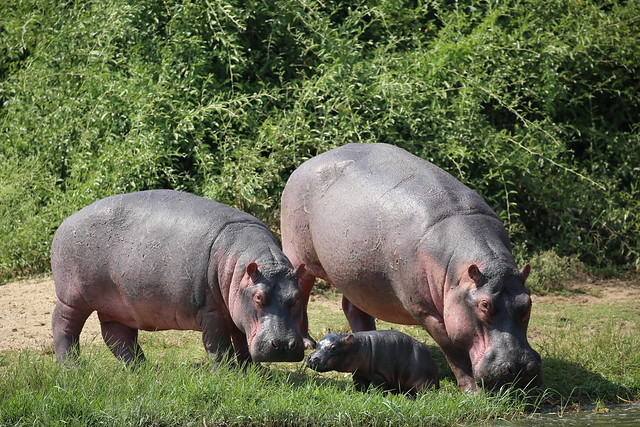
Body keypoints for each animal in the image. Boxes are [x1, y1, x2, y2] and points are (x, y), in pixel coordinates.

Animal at [51, 189, 306, 367]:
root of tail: (66, 221)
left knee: (118, 337)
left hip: (118, 305)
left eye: (296, 298)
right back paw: (72, 367)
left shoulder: (236, 311)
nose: (283, 346)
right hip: (73, 297)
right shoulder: (211, 311)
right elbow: (219, 345)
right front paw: (227, 373)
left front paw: (253, 371)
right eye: (258, 297)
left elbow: (242, 342)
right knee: (64, 325)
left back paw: (141, 369)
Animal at [306, 330, 439, 395]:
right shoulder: (358, 373)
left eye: (334, 348)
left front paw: (378, 397)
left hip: (422, 384)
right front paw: (360, 395)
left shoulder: (379, 374)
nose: (312, 359)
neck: (357, 346)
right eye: (317, 343)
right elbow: (360, 386)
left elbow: (380, 388)